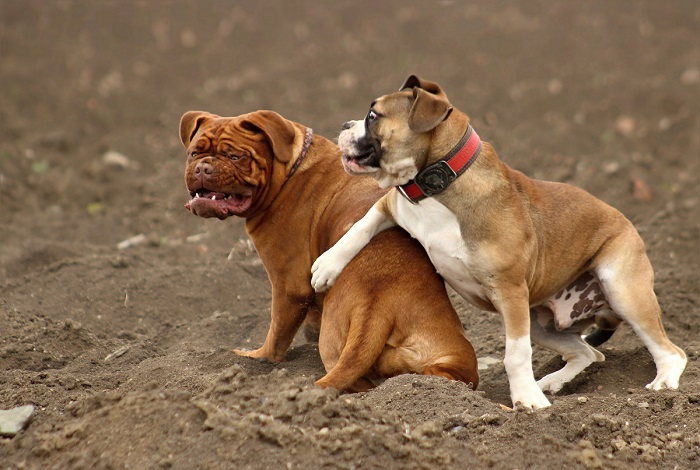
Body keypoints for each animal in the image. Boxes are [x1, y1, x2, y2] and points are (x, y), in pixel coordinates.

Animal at [179, 108, 482, 392]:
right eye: (194, 153)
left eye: (235, 157)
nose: (203, 168)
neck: (290, 168)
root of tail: (379, 304)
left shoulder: (288, 287)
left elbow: (276, 335)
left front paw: (257, 358)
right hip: (450, 352)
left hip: (333, 343)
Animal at [314, 75, 688, 410]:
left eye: (373, 115)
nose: (345, 123)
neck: (440, 184)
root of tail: (628, 222)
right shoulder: (391, 205)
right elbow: (361, 227)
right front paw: (327, 266)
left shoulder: (509, 292)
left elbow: (516, 355)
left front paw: (525, 400)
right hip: (539, 322)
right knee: (589, 352)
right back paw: (552, 381)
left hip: (620, 291)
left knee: (670, 351)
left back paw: (663, 383)